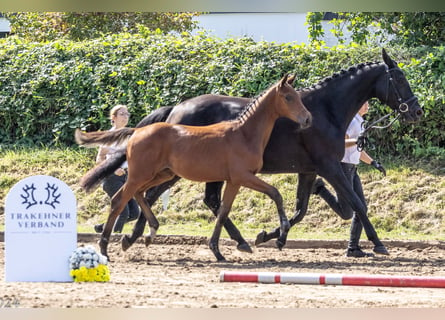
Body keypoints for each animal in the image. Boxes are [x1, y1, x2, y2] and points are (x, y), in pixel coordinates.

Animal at [76, 74, 310, 260]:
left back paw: (149, 232)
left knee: (141, 194)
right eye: (288, 97)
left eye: (298, 96)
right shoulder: (243, 176)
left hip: (162, 174)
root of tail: (136, 131)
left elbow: (223, 211)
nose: (307, 119)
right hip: (140, 175)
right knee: (119, 200)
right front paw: (280, 236)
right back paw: (105, 248)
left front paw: (217, 250)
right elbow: (275, 193)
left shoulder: (233, 181)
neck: (243, 134)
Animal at [119, 48, 422, 256]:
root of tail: (176, 109)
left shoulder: (309, 170)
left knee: (197, 199)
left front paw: (270, 236)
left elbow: (301, 209)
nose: (416, 111)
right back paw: (137, 236)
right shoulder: (329, 166)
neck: (325, 110)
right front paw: (379, 244)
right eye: (399, 78)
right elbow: (357, 204)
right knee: (156, 194)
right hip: (179, 171)